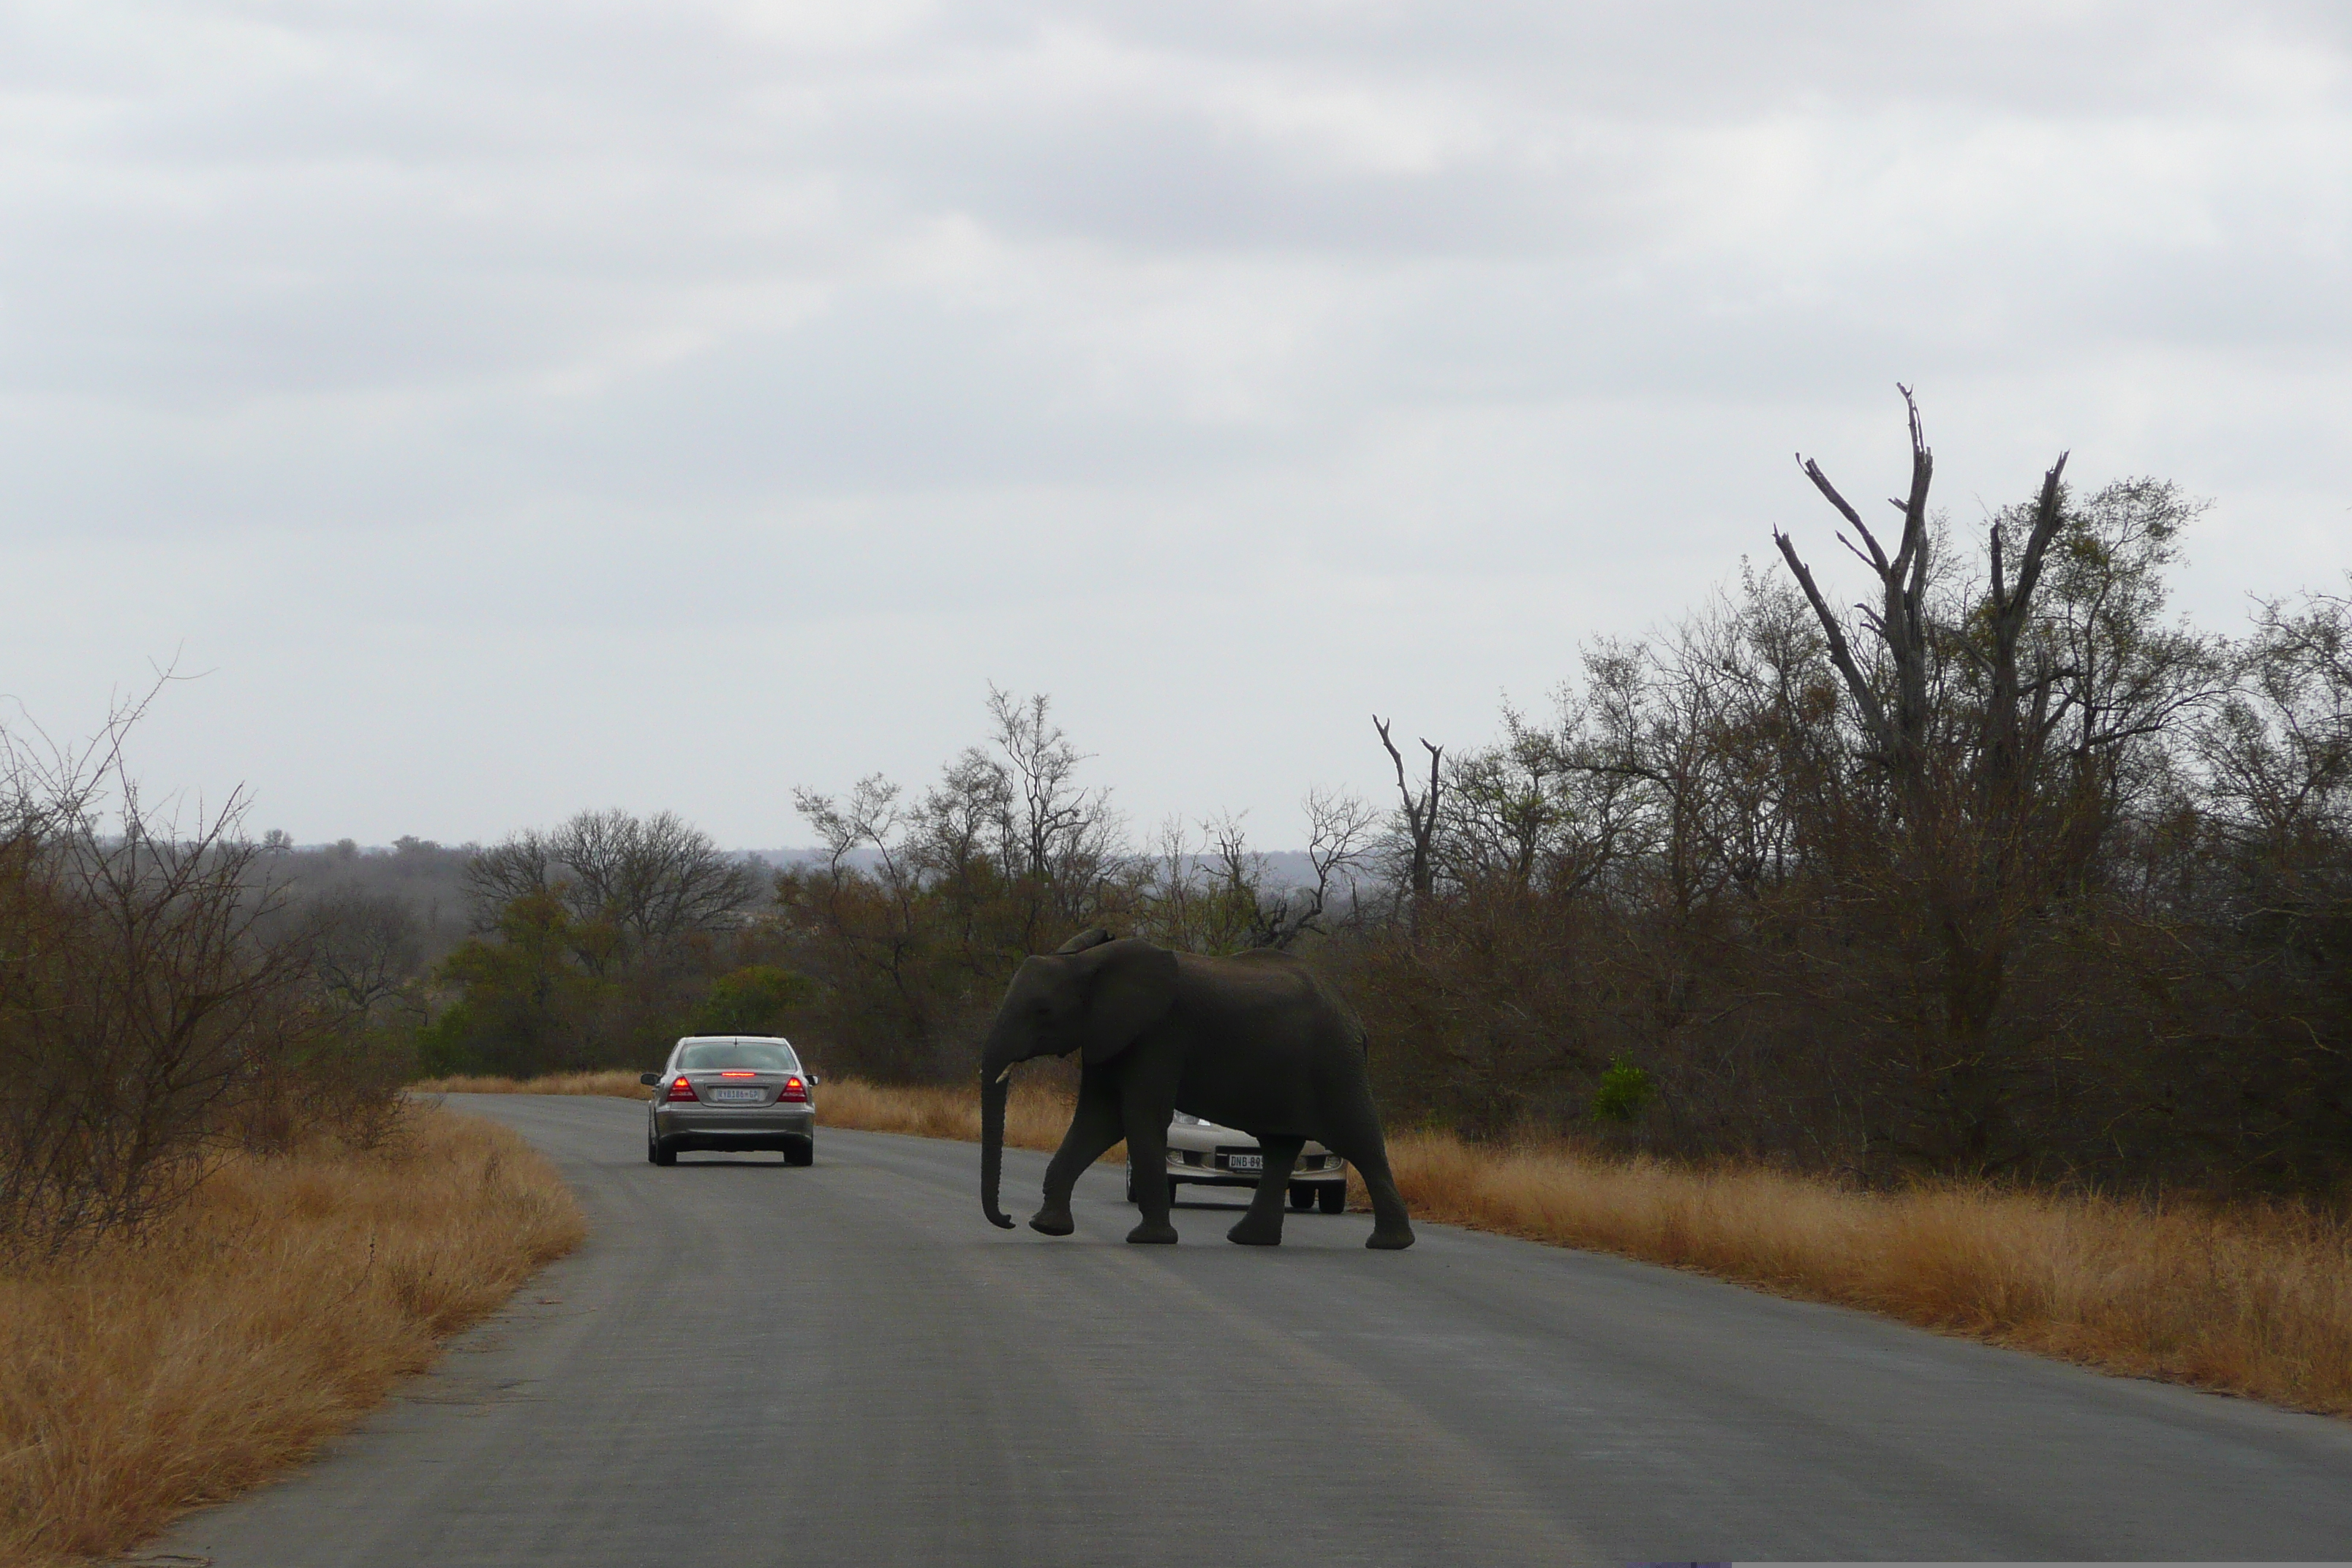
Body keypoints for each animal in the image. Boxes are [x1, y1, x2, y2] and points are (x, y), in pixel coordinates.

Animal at [978, 930, 1411, 1251]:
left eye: (1042, 1011)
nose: (1009, 1220)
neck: (1086, 963)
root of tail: (1354, 1017)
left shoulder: (1160, 1035)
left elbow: (1138, 1116)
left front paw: (1149, 1240)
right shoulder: (1109, 1035)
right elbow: (1097, 1119)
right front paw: (1047, 1227)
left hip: (1335, 1064)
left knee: (1359, 1140)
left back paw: (1390, 1244)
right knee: (1279, 1146)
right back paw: (1250, 1240)